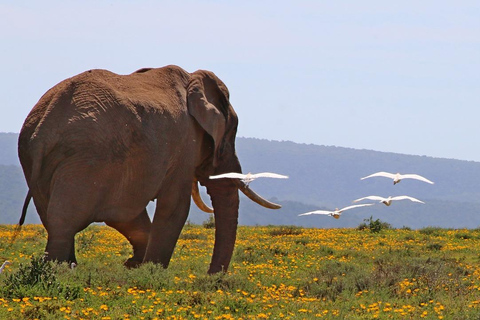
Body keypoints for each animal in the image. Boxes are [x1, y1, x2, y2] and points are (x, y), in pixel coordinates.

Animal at [18, 64, 280, 272]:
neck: (193, 79)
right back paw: (61, 269)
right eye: (228, 139)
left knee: (55, 218)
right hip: (85, 158)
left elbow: (130, 212)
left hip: (41, 162)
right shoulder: (184, 145)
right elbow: (174, 207)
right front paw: (152, 271)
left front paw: (135, 265)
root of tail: (43, 128)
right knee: (64, 220)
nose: (211, 277)